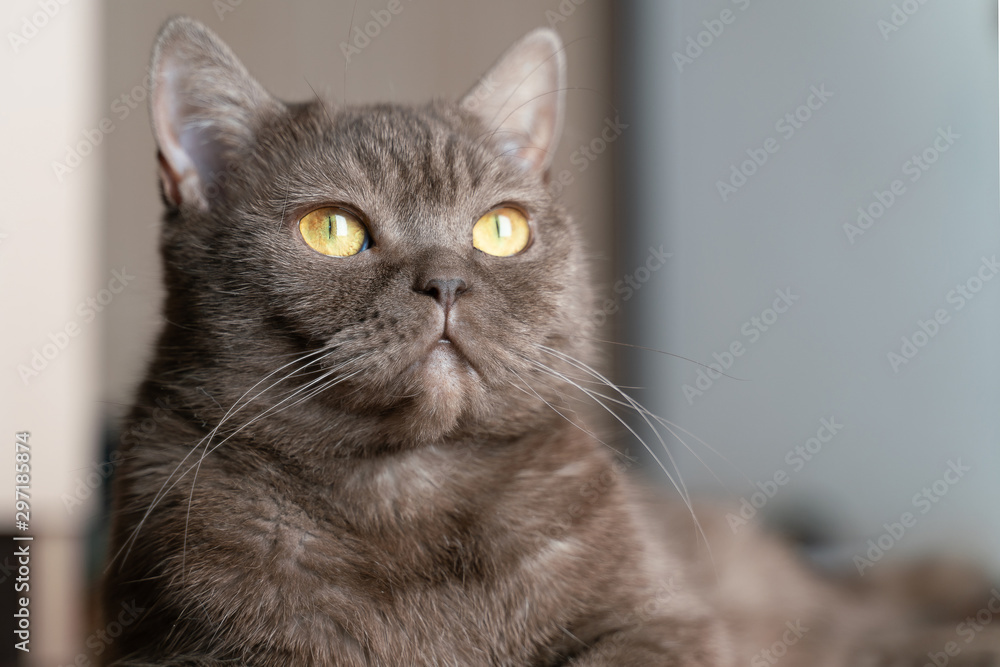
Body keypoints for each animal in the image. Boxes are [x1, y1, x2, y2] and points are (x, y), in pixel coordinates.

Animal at [101, 15, 1000, 667]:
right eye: (332, 229)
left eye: (501, 229)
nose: (446, 282)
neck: (410, 492)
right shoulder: (182, 642)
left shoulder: (664, 618)